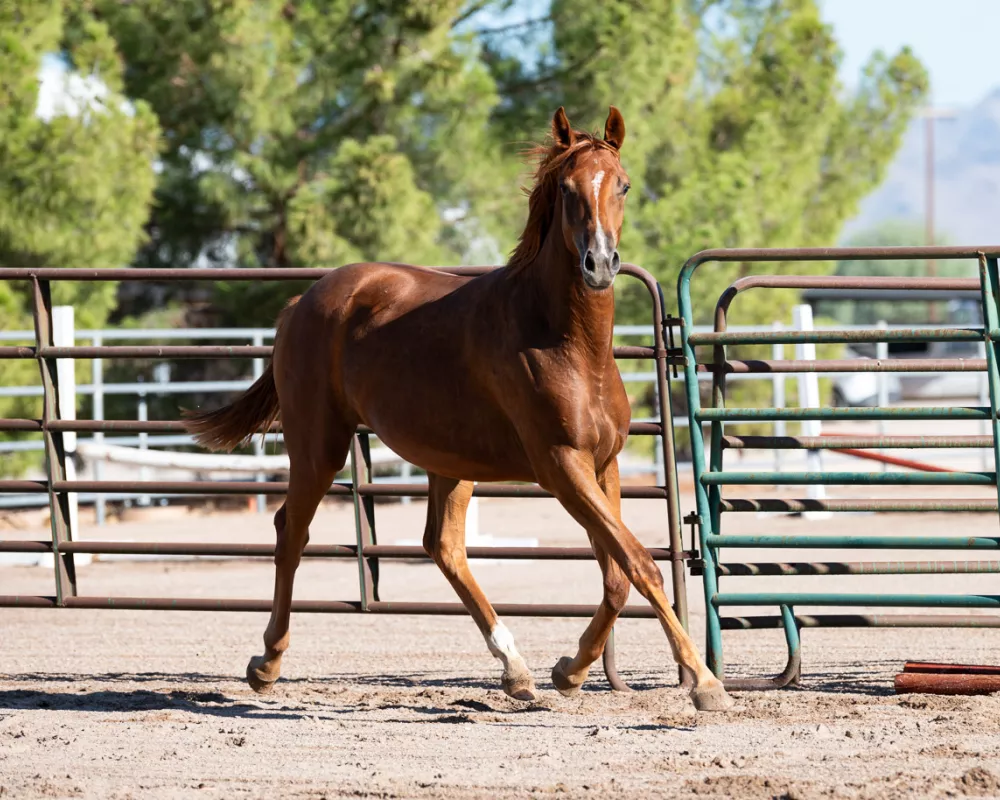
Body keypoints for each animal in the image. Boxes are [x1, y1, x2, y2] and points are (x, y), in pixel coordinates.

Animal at [186, 106, 736, 712]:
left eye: (623, 185)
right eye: (566, 189)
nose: (598, 263)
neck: (563, 340)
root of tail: (302, 302)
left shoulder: (603, 464)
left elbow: (617, 575)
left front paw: (569, 671)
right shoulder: (561, 466)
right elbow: (639, 564)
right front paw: (704, 682)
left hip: (449, 462)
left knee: (443, 546)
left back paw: (516, 670)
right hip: (318, 446)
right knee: (292, 532)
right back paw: (267, 662)